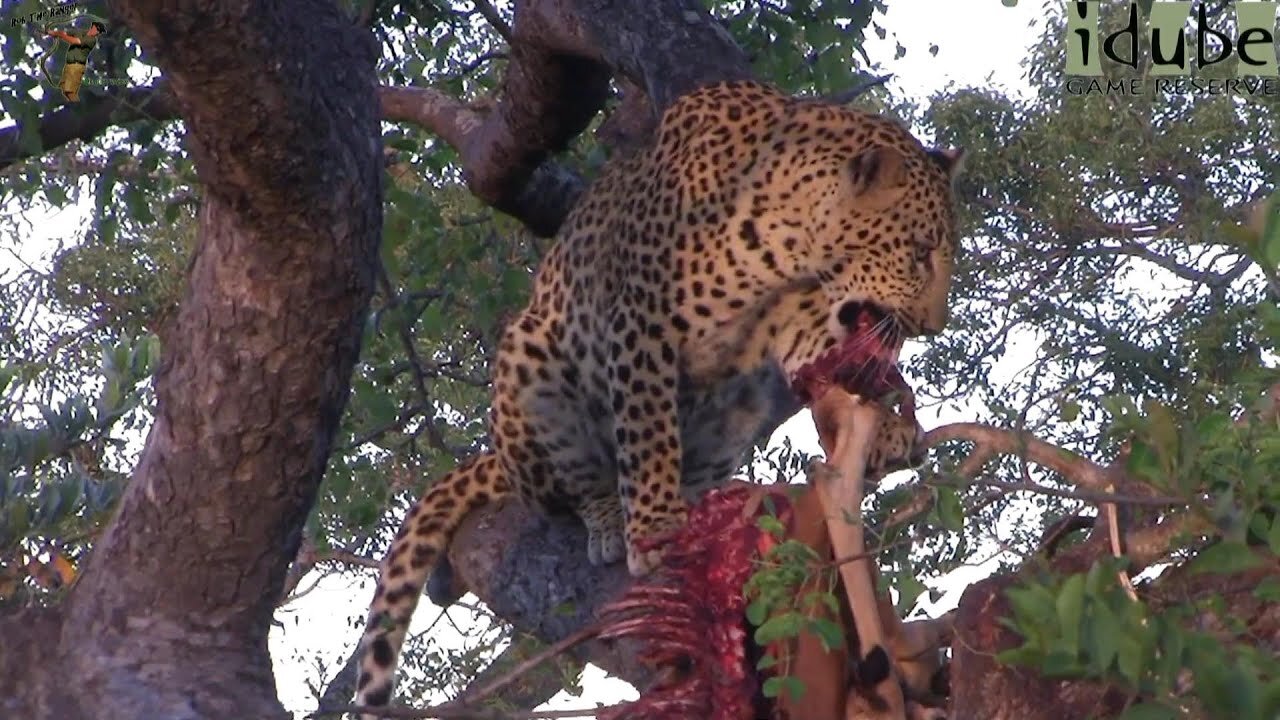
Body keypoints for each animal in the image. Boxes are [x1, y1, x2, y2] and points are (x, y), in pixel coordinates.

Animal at [355, 79, 962, 712]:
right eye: (920, 250)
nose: (933, 323)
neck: (791, 242)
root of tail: (503, 459)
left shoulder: (793, 319)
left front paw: (886, 430)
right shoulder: (640, 323)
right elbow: (647, 432)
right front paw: (653, 529)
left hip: (738, 404)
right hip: (530, 358)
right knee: (570, 485)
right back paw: (610, 519)